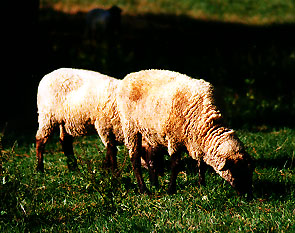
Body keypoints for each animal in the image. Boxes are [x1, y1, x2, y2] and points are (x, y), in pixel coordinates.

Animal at [117, 69, 253, 195]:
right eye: (236, 171)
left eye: (250, 172)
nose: (247, 196)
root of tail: (129, 76)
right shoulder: (174, 139)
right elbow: (176, 165)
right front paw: (171, 190)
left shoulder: (198, 142)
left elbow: (201, 163)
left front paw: (201, 184)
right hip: (131, 128)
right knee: (134, 159)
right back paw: (143, 189)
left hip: (150, 132)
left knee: (151, 158)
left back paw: (154, 184)